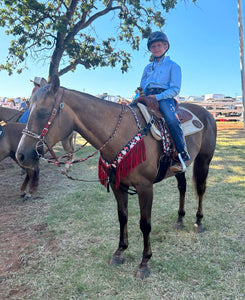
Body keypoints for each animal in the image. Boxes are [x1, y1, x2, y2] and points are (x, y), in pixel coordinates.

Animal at [15, 75, 216, 278]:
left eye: (43, 111)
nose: (21, 155)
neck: (121, 133)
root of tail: (206, 113)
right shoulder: (118, 185)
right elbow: (123, 216)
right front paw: (120, 252)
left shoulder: (145, 187)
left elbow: (145, 224)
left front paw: (144, 262)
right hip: (179, 169)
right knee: (182, 187)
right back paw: (180, 220)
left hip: (204, 160)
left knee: (200, 189)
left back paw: (199, 222)